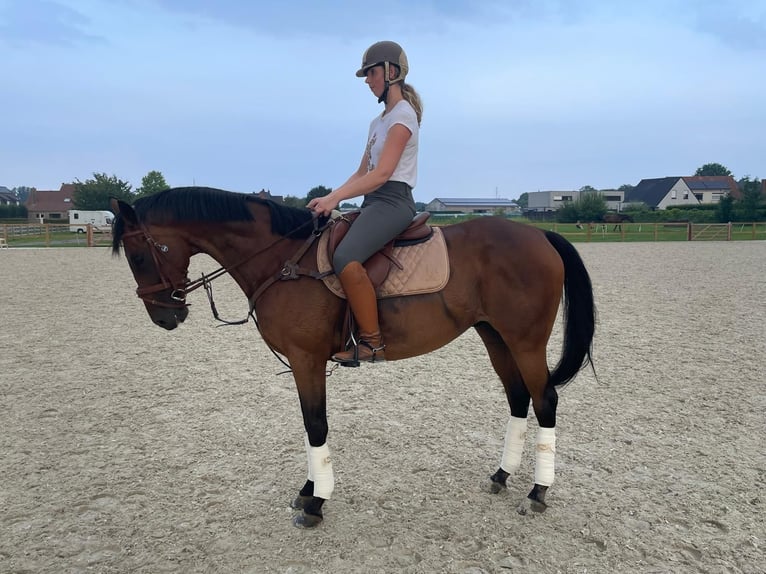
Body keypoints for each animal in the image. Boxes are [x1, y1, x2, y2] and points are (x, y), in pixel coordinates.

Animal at [111, 189, 596, 532]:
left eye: (137, 256)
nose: (164, 317)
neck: (282, 258)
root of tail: (540, 235)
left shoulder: (306, 359)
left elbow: (315, 424)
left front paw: (316, 502)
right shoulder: (303, 363)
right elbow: (310, 426)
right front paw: (308, 490)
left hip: (525, 341)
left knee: (545, 400)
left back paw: (536, 493)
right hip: (494, 336)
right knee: (517, 398)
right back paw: (500, 476)